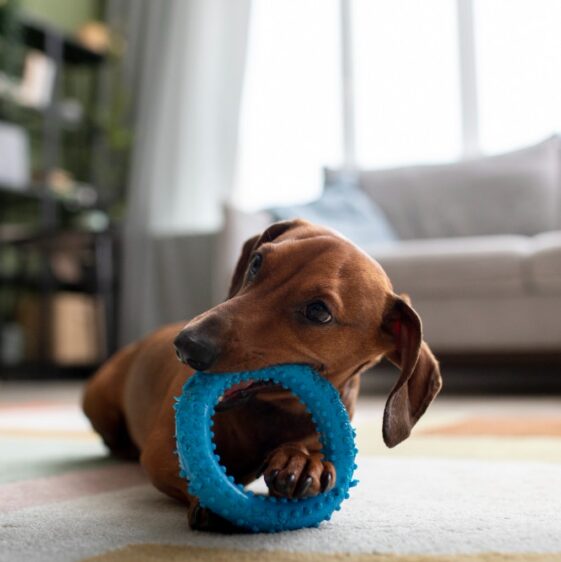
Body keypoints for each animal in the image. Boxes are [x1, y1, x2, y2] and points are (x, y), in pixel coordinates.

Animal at [83, 219, 442, 528]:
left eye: (319, 312)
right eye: (256, 262)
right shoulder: (160, 452)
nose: (186, 345)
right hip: (98, 404)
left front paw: (302, 461)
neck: (271, 414)